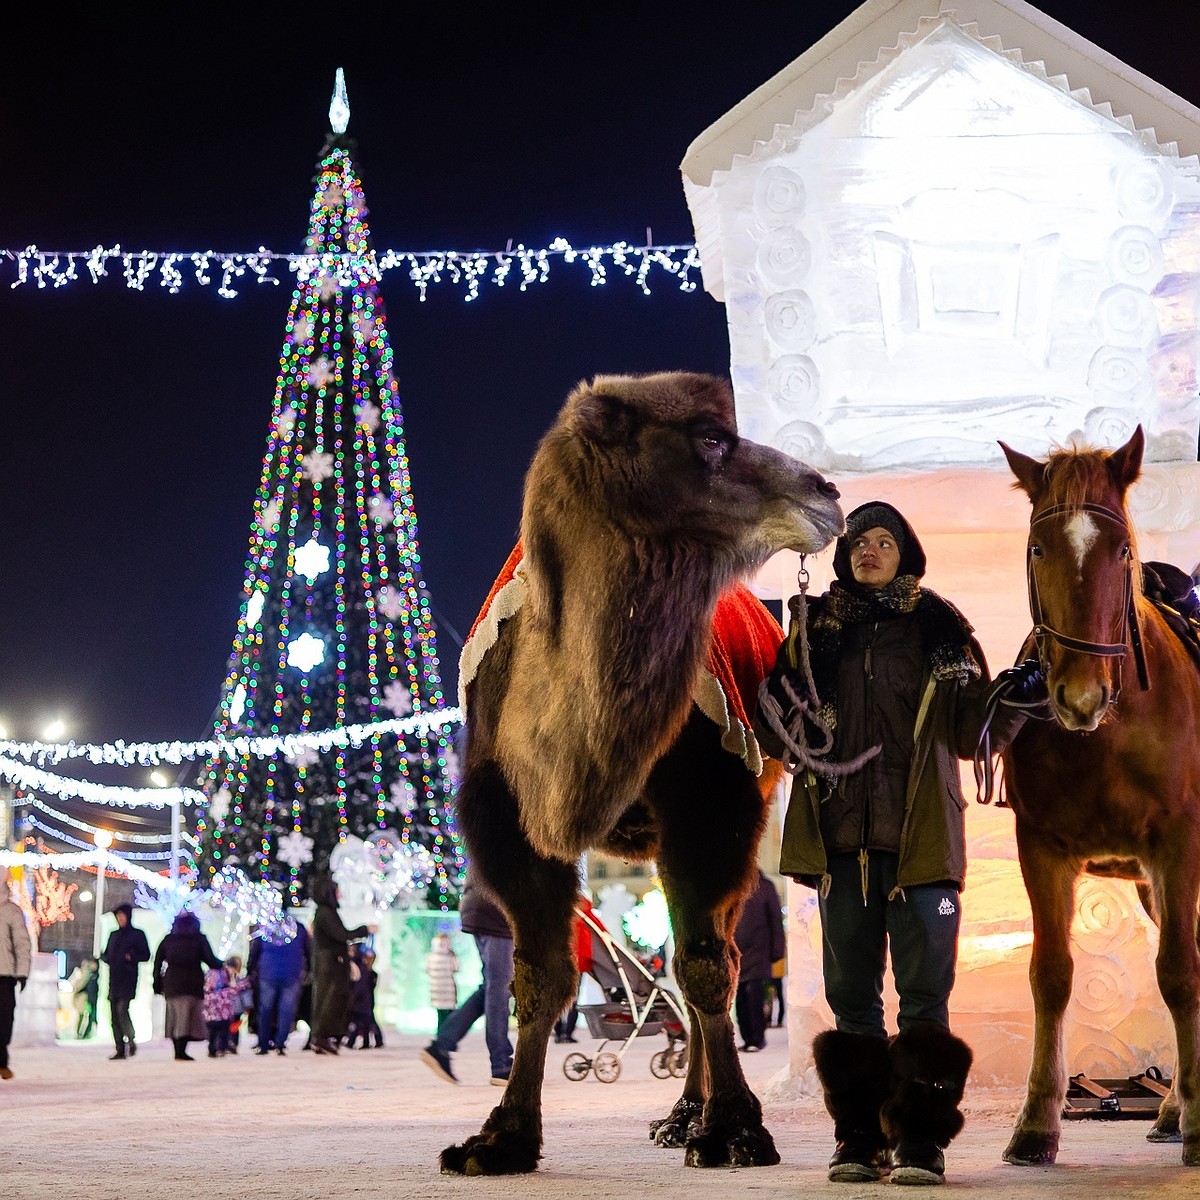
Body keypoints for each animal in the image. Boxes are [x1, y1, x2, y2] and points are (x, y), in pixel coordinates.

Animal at [441, 372, 844, 1171]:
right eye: (712, 439)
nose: (826, 491)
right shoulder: (502, 816)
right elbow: (539, 975)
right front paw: (501, 1137)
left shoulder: (713, 803)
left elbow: (703, 963)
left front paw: (736, 1130)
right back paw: (680, 1115)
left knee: (712, 952)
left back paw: (691, 1116)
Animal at [998, 427, 1200, 1166]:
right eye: (1037, 548)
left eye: (1121, 551)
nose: (1079, 697)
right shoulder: (1041, 847)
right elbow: (1051, 974)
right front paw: (1036, 1122)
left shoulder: (1177, 846)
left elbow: (1179, 973)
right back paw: (1171, 1106)